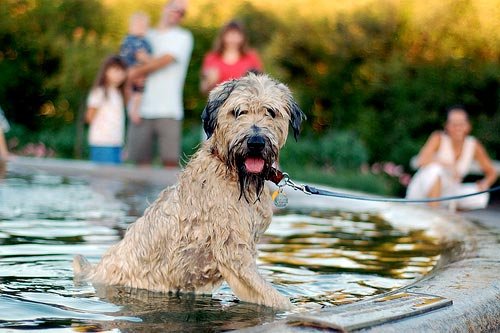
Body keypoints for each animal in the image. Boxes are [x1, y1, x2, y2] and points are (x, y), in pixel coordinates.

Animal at [71, 72, 304, 308]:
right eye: (238, 112)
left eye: (271, 112)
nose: (256, 142)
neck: (234, 175)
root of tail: (95, 271)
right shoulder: (234, 254)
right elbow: (277, 299)